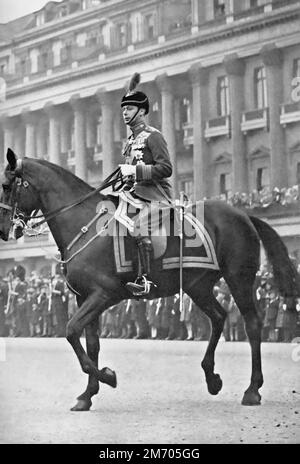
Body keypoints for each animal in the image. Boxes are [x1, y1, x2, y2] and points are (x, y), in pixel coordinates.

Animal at [0, 150, 298, 410]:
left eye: (6, 185)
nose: (4, 231)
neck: (86, 226)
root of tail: (243, 214)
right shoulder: (84, 297)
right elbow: (91, 343)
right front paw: (87, 395)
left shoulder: (103, 295)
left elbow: (72, 331)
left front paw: (108, 377)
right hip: (198, 286)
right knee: (219, 317)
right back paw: (212, 378)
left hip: (238, 279)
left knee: (252, 324)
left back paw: (252, 390)